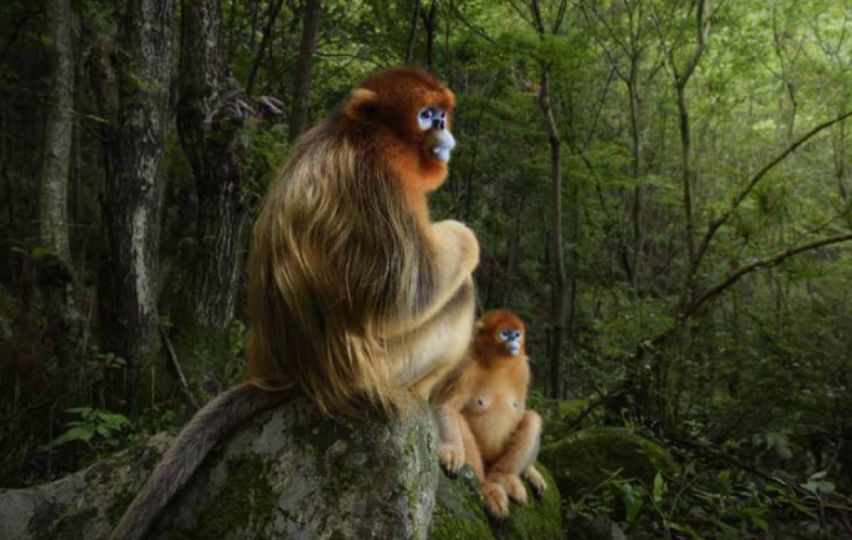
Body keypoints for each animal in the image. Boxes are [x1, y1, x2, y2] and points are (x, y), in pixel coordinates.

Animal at [436, 310, 548, 520]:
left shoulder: (523, 367)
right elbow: (446, 405)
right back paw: (487, 487)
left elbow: (521, 411)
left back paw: (503, 476)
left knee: (532, 418)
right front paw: (452, 450)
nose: (514, 340)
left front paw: (530, 471)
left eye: (517, 334)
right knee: (460, 420)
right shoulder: (466, 364)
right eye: (505, 333)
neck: (497, 365)